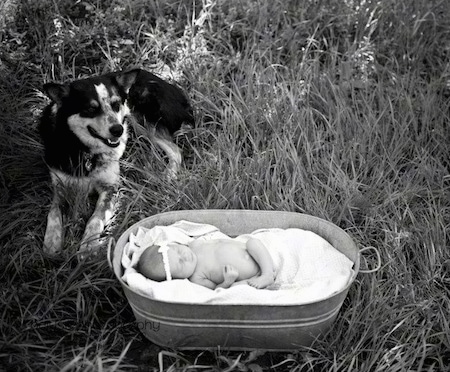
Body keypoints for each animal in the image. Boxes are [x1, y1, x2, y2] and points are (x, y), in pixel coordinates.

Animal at [39, 68, 193, 258]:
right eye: (90, 109)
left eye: (116, 104)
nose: (117, 130)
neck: (85, 150)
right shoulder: (60, 187)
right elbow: (53, 214)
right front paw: (51, 244)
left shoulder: (110, 188)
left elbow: (95, 219)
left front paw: (88, 247)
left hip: (138, 117)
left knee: (175, 150)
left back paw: (168, 176)